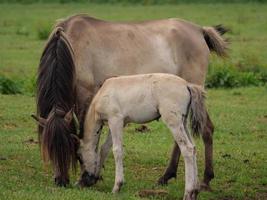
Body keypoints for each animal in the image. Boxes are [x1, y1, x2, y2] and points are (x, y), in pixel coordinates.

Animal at [77, 73, 207, 200]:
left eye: (79, 157)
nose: (81, 182)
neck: (103, 93)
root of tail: (187, 85)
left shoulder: (115, 120)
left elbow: (117, 150)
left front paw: (117, 186)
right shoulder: (119, 123)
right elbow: (104, 149)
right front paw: (97, 176)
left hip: (173, 121)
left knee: (187, 149)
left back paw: (188, 193)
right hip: (183, 122)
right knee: (193, 148)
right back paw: (195, 191)